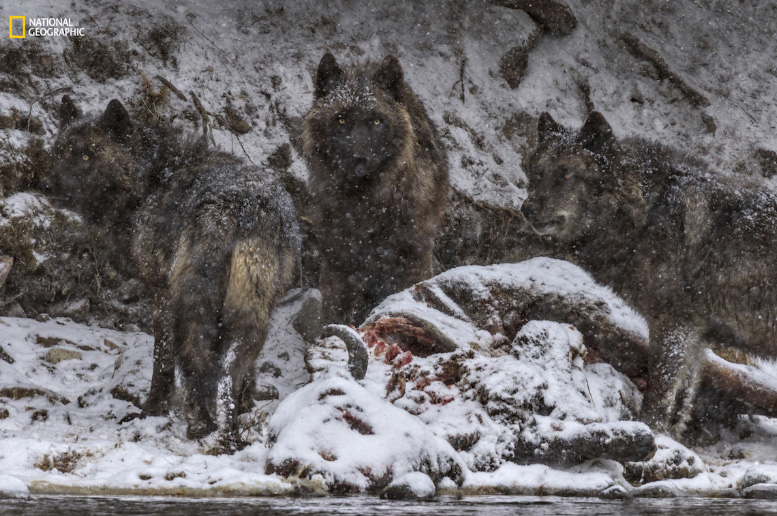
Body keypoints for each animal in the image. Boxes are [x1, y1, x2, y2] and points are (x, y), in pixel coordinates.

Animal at [46, 95, 300, 448]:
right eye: (58, 153)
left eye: (86, 155)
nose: (45, 186)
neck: (150, 180)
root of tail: (236, 207)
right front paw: (248, 405)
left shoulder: (161, 294)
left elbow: (162, 362)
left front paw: (151, 411)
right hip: (252, 310)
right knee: (231, 368)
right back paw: (230, 426)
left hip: (190, 307)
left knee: (194, 359)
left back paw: (200, 425)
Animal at [304, 52, 448, 326]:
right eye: (341, 119)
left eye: (377, 121)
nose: (358, 160)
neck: (364, 204)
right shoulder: (339, 264)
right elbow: (335, 312)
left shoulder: (409, 259)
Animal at [520, 111, 777, 438]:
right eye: (537, 172)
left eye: (566, 175)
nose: (526, 209)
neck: (648, 211)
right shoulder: (696, 335)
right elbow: (682, 398)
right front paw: (671, 439)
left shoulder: (672, 324)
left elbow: (659, 391)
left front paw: (649, 432)